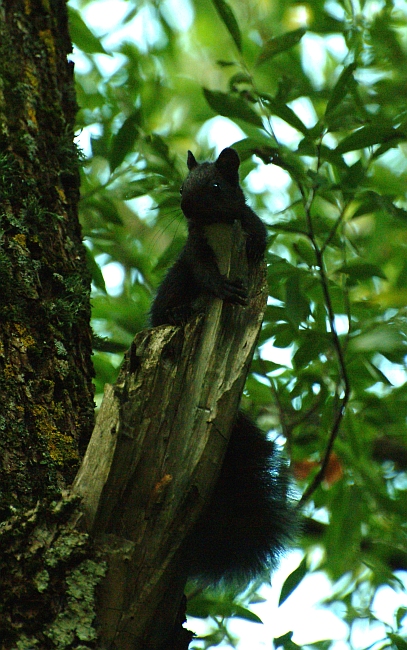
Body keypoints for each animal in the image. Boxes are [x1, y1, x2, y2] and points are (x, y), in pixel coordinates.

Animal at [151, 148, 296, 584]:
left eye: (216, 185)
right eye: (182, 185)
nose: (186, 206)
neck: (215, 228)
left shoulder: (250, 225)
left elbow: (261, 239)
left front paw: (254, 254)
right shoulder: (194, 250)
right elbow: (204, 272)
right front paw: (221, 288)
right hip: (172, 286)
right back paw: (178, 314)